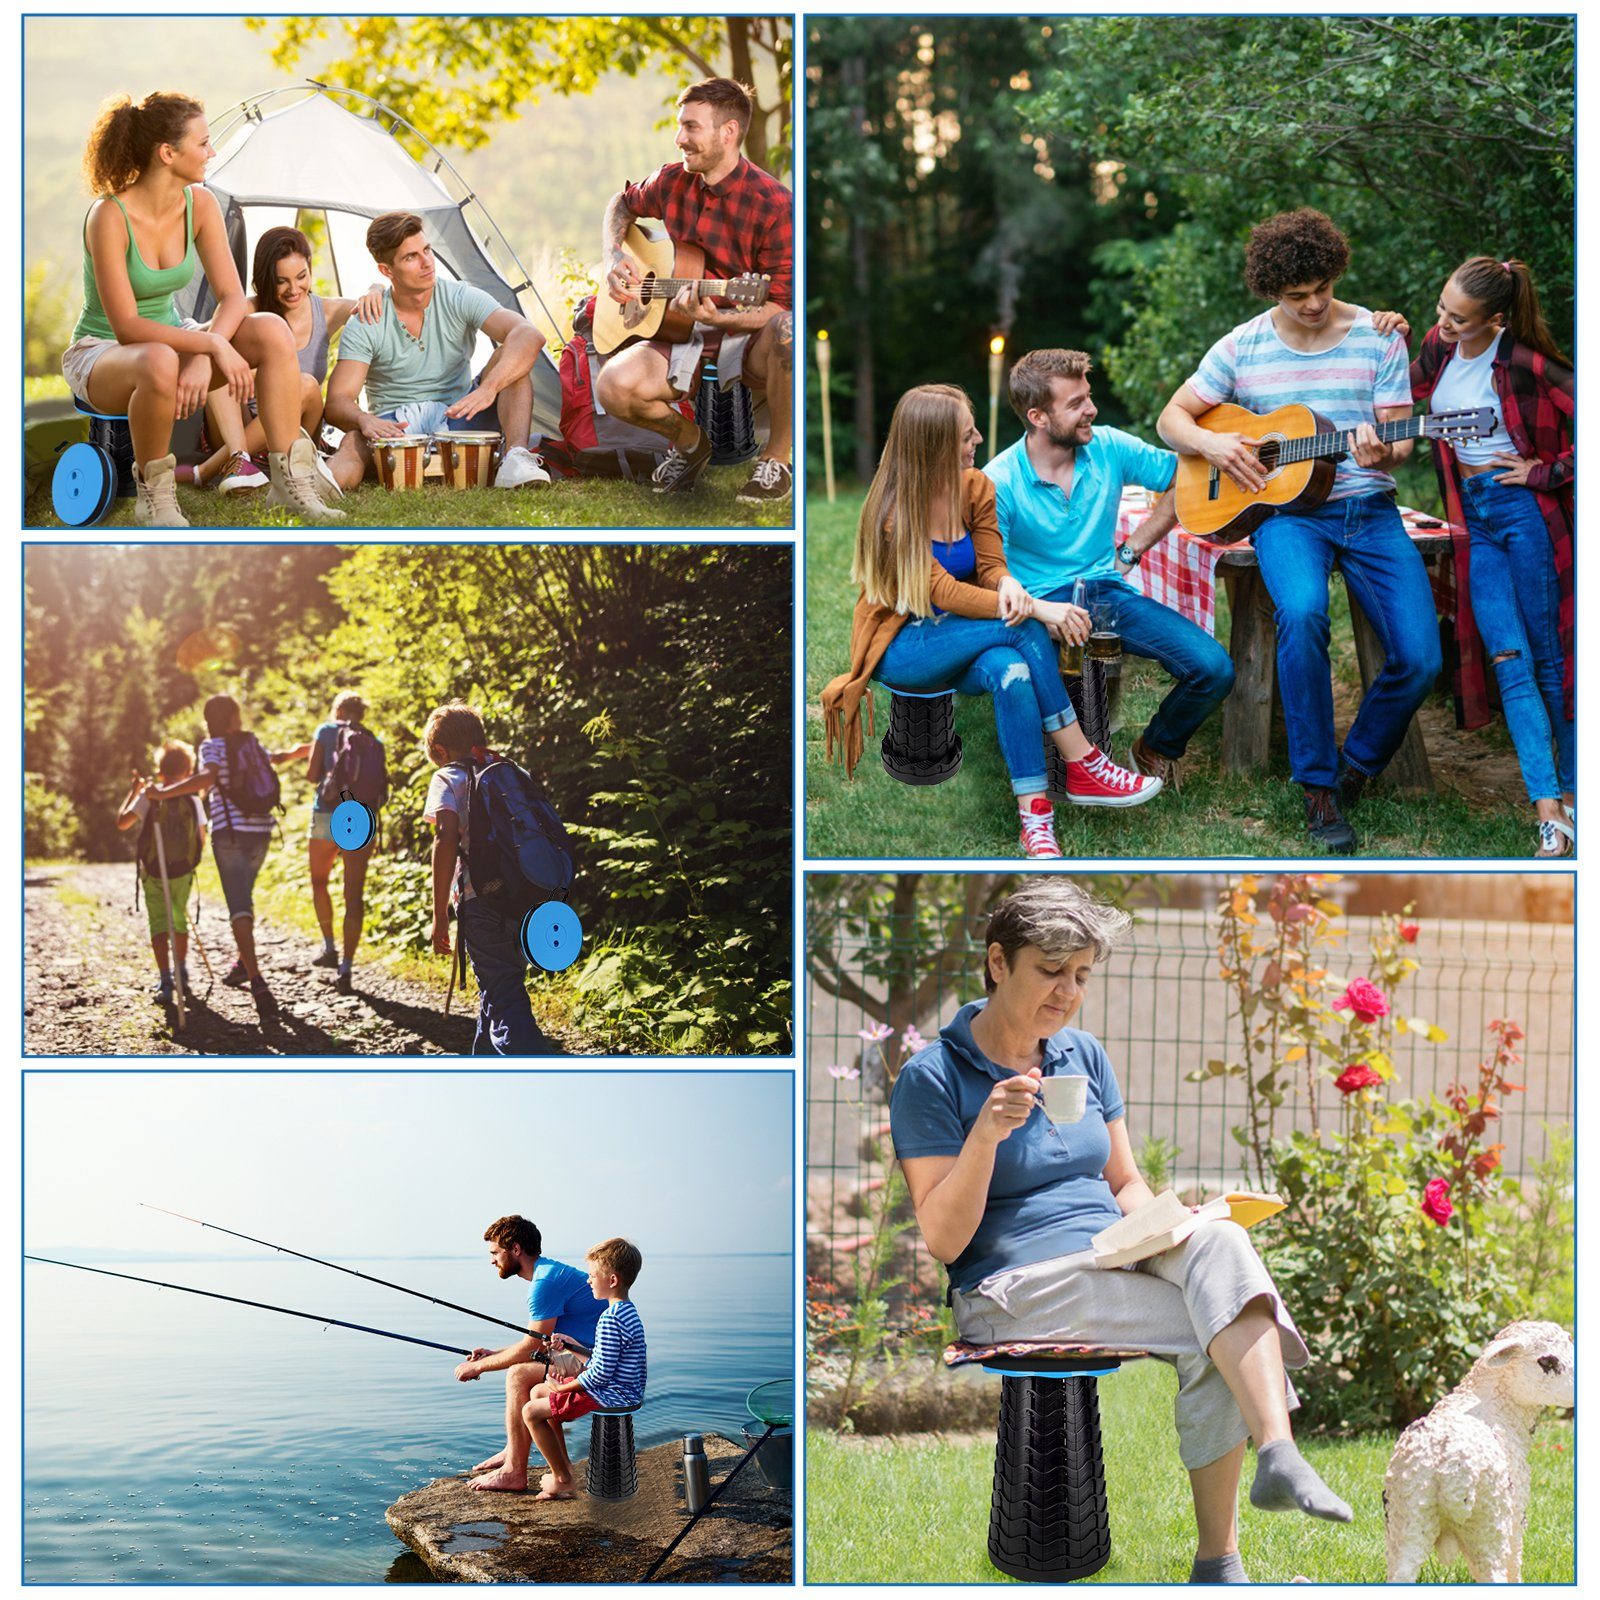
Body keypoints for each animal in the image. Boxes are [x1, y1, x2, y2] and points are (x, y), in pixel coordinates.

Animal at [1388, 1318, 1574, 1580]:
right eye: (1547, 1361)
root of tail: (1448, 1467)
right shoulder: (1517, 1509)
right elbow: (1515, 1562)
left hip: (1408, 1515)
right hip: (1489, 1520)